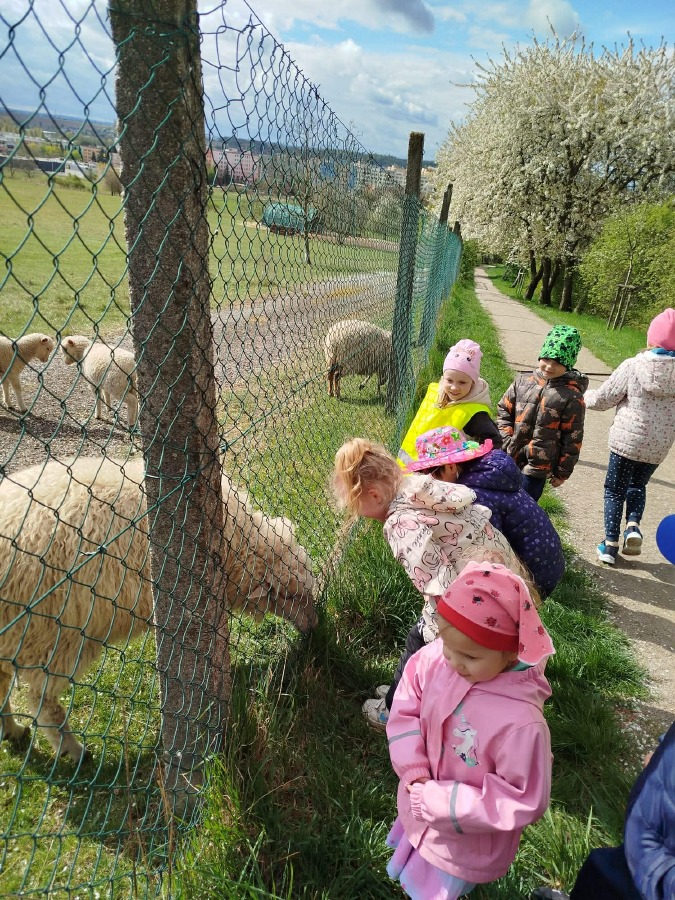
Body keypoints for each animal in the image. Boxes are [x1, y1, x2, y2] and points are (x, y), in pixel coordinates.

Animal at [0, 456, 318, 762]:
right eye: (291, 596)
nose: (315, 627)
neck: (232, 544)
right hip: (51, 636)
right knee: (42, 700)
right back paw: (72, 749)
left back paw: (12, 730)